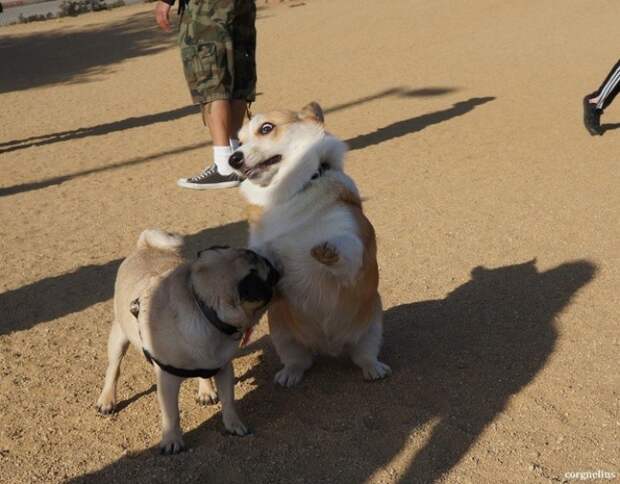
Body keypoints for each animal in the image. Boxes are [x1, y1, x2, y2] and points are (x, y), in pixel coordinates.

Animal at [95, 229, 278, 452]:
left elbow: (229, 401)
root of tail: (145, 247)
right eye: (267, 275)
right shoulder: (167, 380)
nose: (274, 265)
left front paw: (233, 424)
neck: (202, 306)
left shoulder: (224, 368)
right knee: (113, 369)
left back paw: (206, 390)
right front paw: (172, 440)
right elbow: (171, 414)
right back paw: (107, 400)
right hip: (118, 337)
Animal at [228, 102, 392, 386]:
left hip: (372, 326)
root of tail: (328, 347)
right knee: (299, 360)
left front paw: (327, 250)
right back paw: (289, 374)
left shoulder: (353, 235)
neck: (289, 193)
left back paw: (374, 369)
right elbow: (260, 252)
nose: (233, 159)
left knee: (364, 355)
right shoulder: (263, 248)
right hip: (282, 334)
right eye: (239, 141)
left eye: (266, 128)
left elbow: (346, 247)